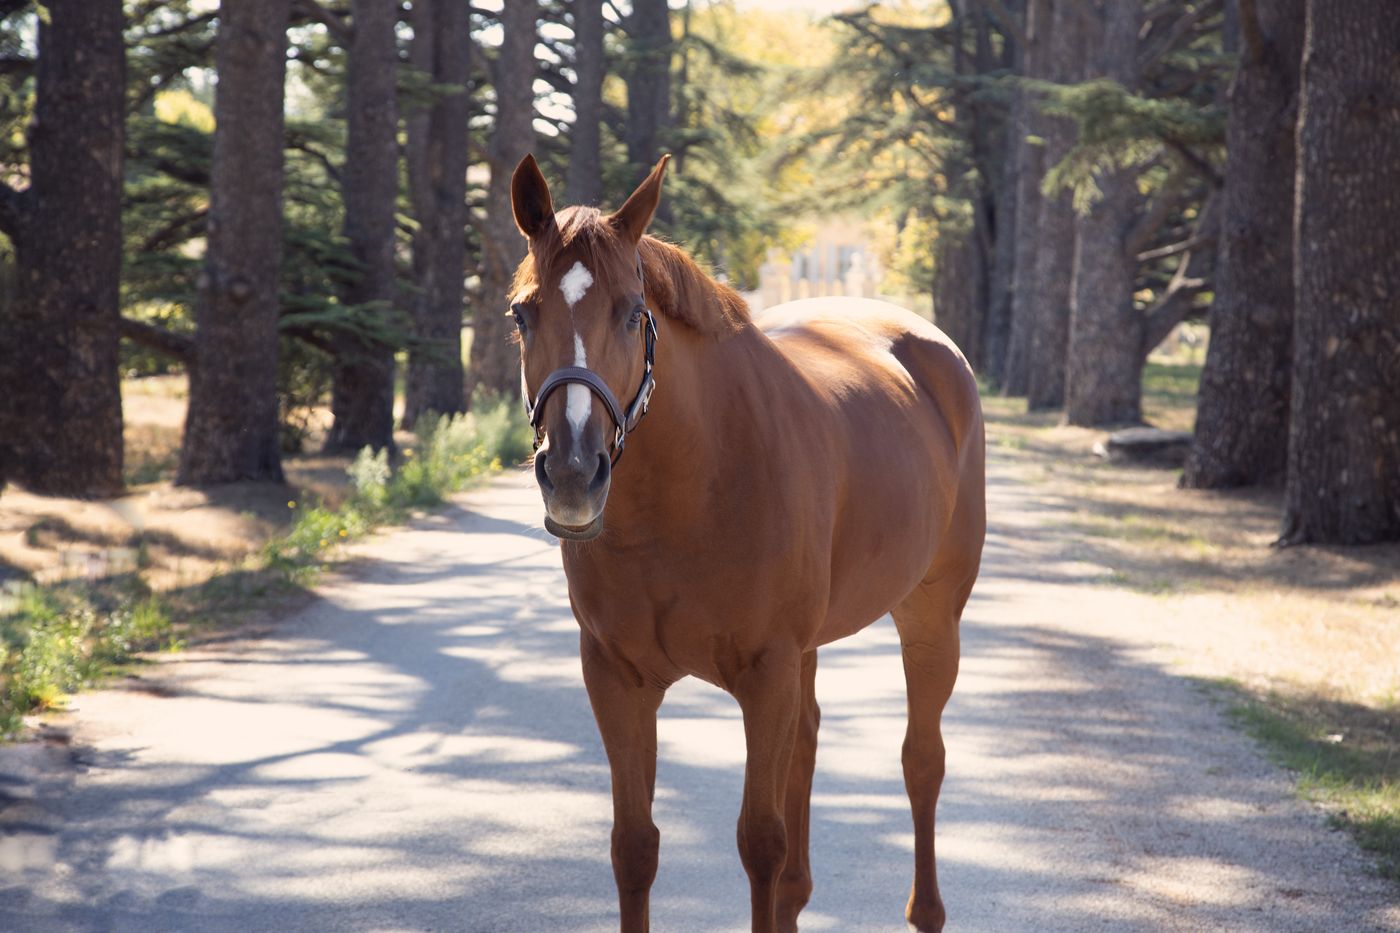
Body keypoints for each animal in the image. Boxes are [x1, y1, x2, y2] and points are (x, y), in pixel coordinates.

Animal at [507, 153, 986, 933]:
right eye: (522, 313)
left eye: (631, 311)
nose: (573, 471)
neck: (689, 493)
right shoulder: (616, 677)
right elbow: (634, 845)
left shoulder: (766, 675)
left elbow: (761, 842)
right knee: (811, 744)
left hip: (931, 615)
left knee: (922, 759)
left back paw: (928, 909)